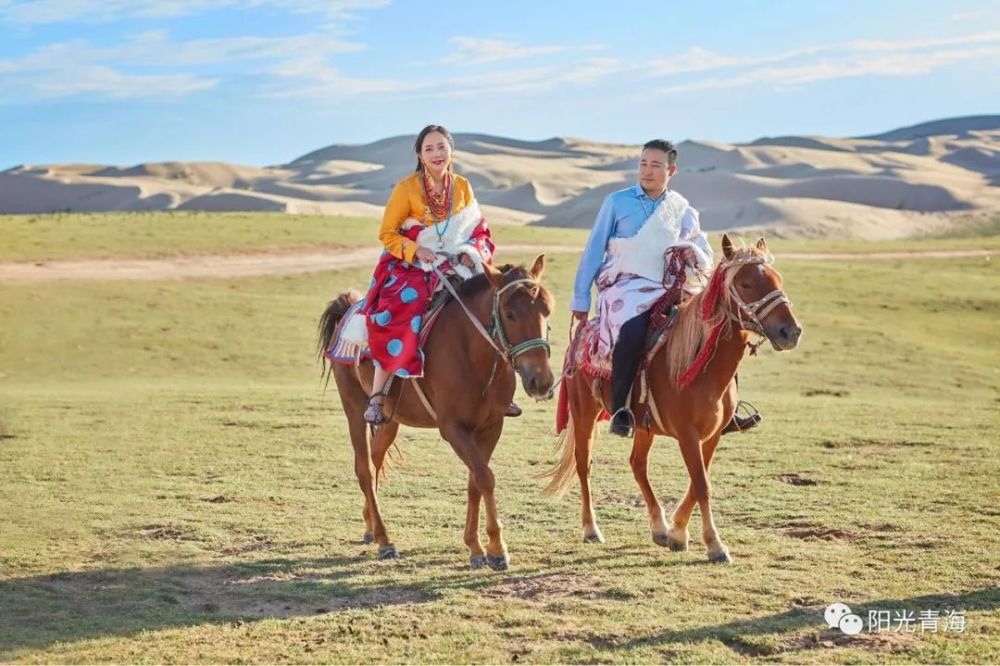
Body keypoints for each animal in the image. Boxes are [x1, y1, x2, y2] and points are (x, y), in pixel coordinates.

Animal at [316, 253, 556, 564]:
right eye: (509, 313)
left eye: (547, 310)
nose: (541, 381)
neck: (471, 353)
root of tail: (348, 309)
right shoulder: (453, 429)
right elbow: (485, 477)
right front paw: (496, 548)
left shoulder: (491, 426)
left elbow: (475, 481)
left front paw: (475, 546)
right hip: (354, 407)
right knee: (365, 468)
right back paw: (384, 540)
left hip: (390, 419)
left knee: (376, 459)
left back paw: (370, 527)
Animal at [544, 236, 800, 564]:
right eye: (745, 283)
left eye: (777, 279)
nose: (790, 332)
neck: (702, 368)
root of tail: (581, 334)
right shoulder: (688, 435)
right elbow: (702, 485)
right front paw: (715, 545)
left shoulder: (713, 434)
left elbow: (698, 481)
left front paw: (678, 532)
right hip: (584, 413)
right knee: (583, 464)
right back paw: (591, 529)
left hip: (642, 425)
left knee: (637, 464)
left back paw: (659, 528)